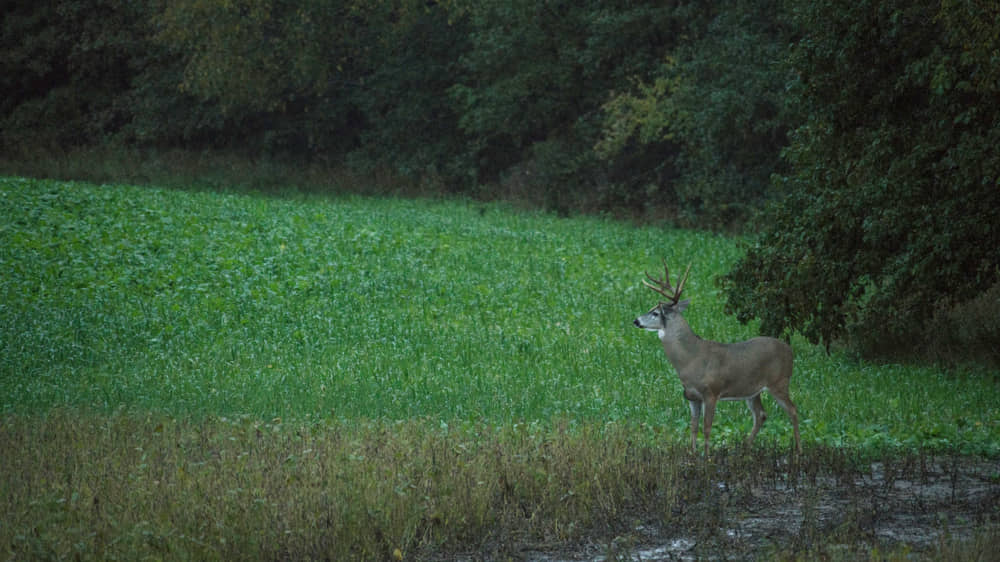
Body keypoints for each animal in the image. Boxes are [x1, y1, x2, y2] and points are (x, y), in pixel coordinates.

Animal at [633, 260, 801, 455]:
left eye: (655, 313)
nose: (636, 321)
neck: (691, 359)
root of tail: (790, 350)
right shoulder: (691, 396)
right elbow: (693, 427)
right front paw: (693, 453)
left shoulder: (711, 392)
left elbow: (707, 427)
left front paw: (707, 456)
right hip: (752, 390)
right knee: (761, 415)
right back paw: (745, 448)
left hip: (779, 382)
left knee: (793, 410)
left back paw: (798, 450)